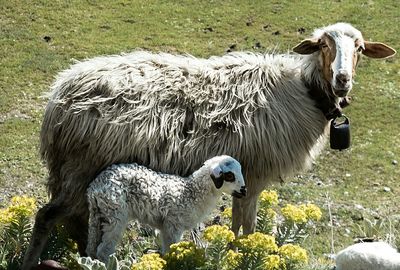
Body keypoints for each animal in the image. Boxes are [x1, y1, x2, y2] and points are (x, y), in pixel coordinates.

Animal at [85, 155, 247, 262]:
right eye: (229, 176)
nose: (244, 190)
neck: (191, 192)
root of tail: (94, 188)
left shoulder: (165, 227)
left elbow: (166, 250)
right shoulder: (173, 224)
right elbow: (170, 249)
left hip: (100, 214)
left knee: (92, 247)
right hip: (115, 214)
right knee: (103, 251)